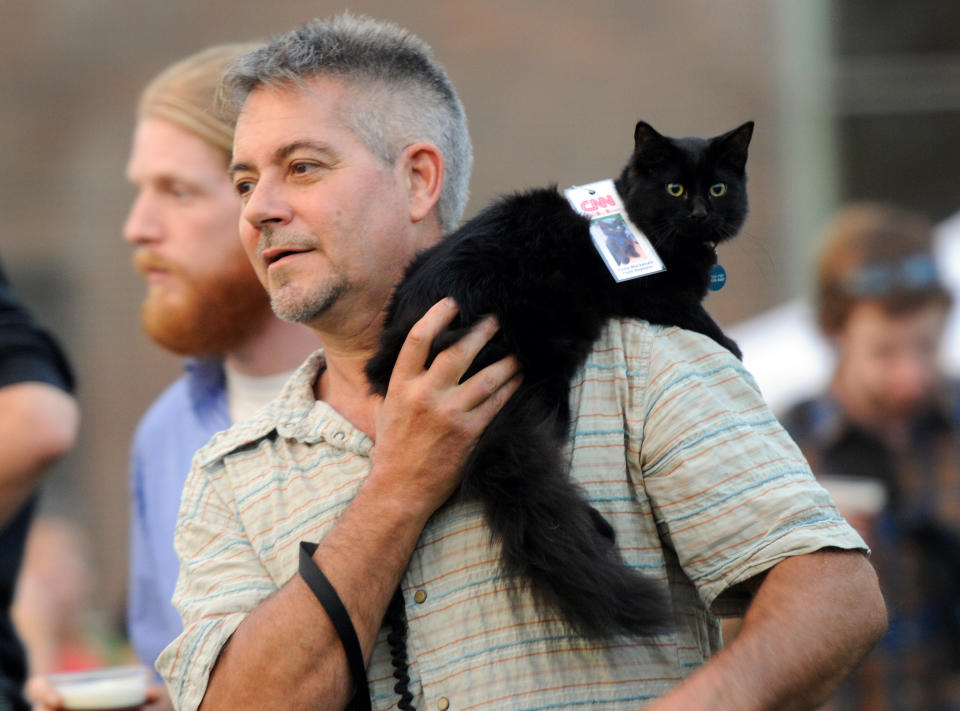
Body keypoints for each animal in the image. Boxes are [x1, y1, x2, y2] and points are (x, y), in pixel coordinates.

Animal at [364, 119, 752, 644]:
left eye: (717, 189)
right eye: (675, 188)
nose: (699, 213)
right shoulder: (648, 291)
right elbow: (694, 313)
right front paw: (732, 345)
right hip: (540, 377)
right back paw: (597, 531)